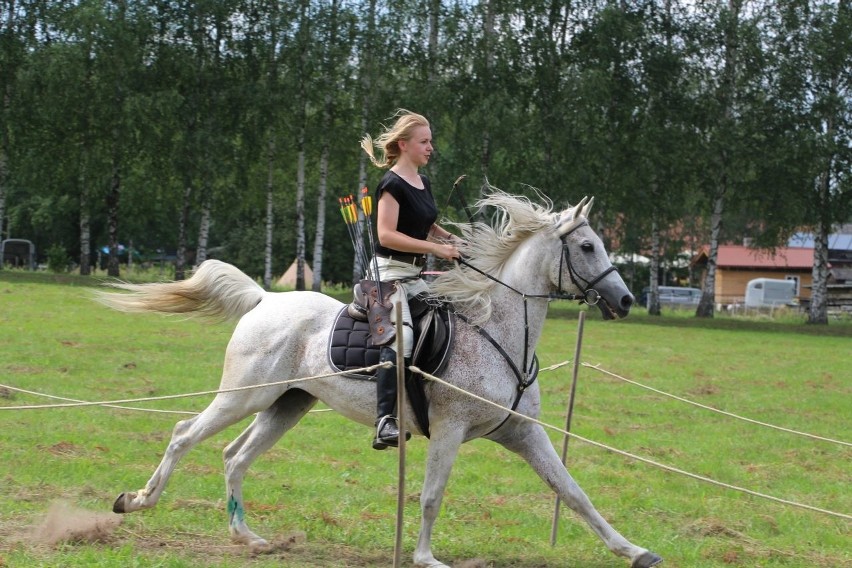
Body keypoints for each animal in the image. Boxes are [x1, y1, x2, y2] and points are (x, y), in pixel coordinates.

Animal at [98, 192, 660, 568]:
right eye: (586, 246)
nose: (626, 300)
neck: (498, 328)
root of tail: (265, 298)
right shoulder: (450, 430)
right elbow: (431, 495)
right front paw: (426, 558)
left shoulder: (523, 432)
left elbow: (573, 492)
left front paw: (633, 550)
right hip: (246, 396)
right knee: (184, 434)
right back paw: (136, 501)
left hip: (287, 404)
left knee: (234, 456)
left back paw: (249, 538)